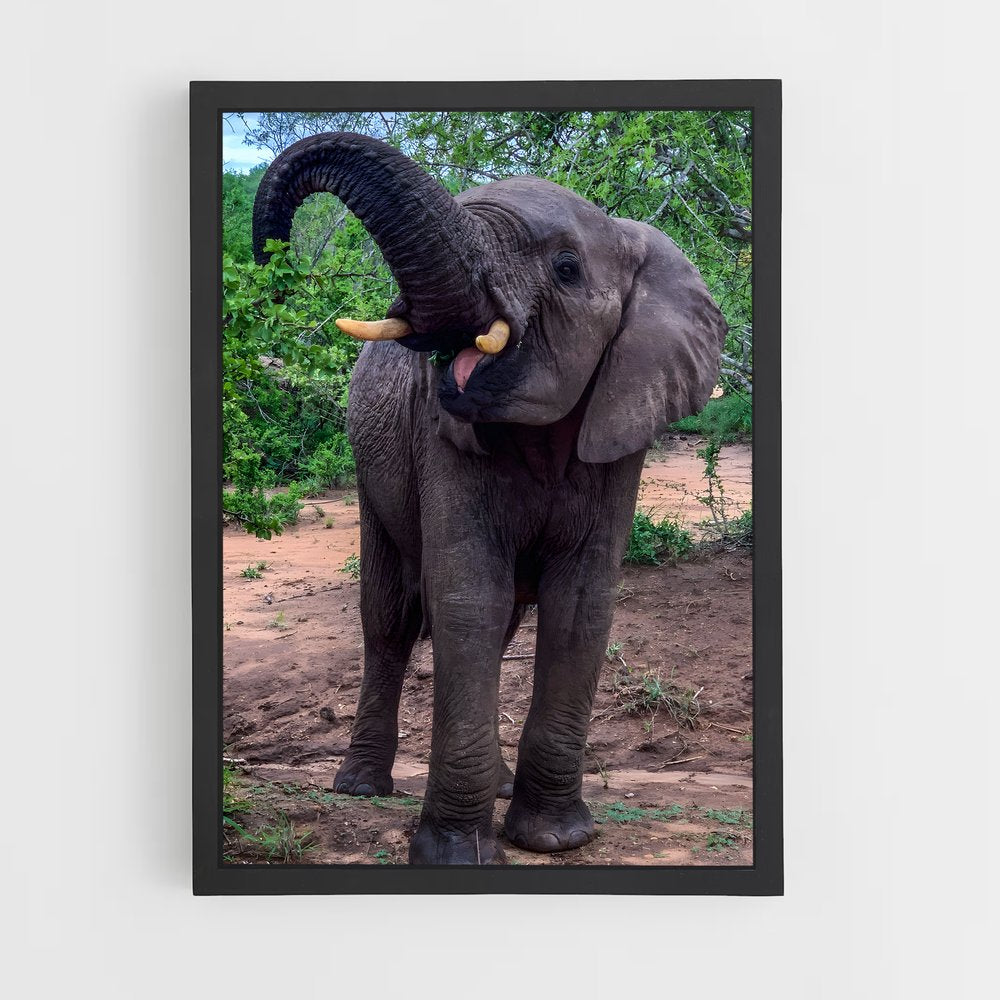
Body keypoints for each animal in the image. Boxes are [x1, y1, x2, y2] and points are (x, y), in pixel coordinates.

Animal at [252, 132, 727, 864]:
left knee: (497, 629)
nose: (273, 259)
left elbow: (580, 604)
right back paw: (360, 787)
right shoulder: (442, 437)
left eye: (566, 268)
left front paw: (555, 840)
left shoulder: (622, 425)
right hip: (369, 467)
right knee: (389, 618)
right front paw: (455, 856)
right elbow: (468, 594)